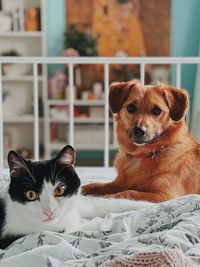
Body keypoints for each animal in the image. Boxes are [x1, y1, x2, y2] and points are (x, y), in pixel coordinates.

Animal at [0, 147, 152, 249]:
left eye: (60, 189)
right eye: (31, 194)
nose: (49, 211)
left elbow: (100, 204)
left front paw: (148, 207)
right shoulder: (14, 235)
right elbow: (74, 229)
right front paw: (104, 222)